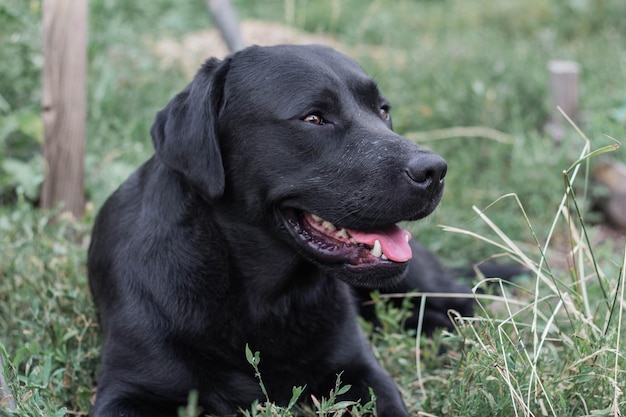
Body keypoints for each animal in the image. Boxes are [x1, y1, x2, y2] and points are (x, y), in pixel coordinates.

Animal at [86, 44, 468, 414]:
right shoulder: (129, 390)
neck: (268, 300)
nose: (435, 170)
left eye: (383, 110)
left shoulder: (361, 369)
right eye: (313, 118)